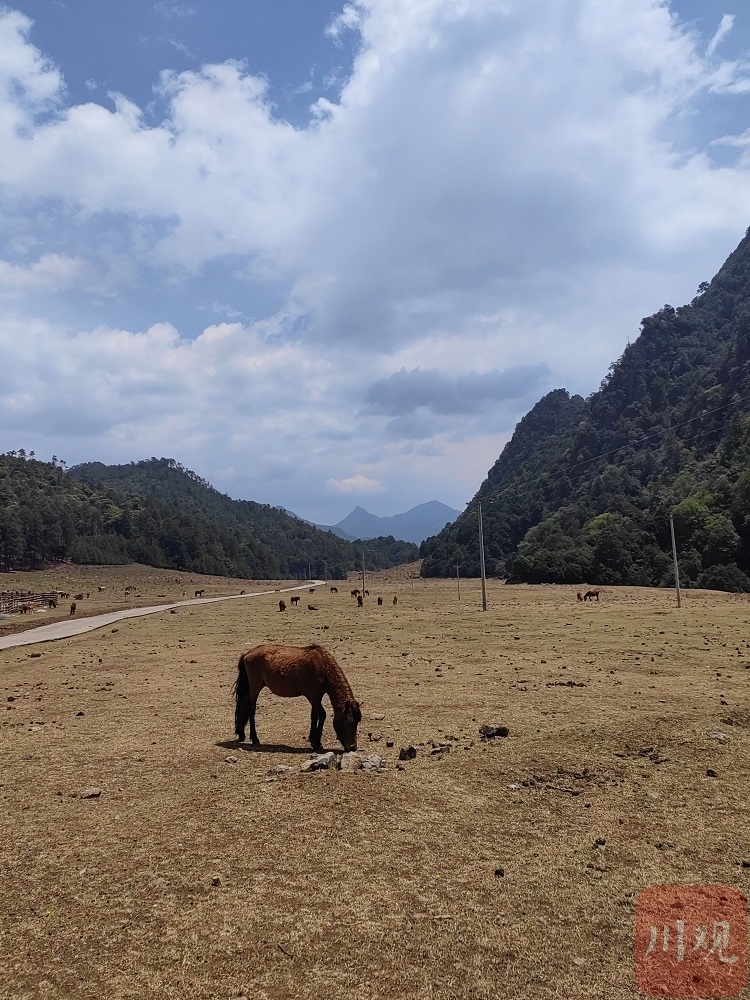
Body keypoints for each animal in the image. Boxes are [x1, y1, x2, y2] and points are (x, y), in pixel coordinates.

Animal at [235, 640, 364, 752]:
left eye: (358, 722)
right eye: (349, 721)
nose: (352, 747)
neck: (322, 667)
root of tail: (248, 653)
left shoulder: (317, 696)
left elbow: (314, 716)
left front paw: (313, 739)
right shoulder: (312, 696)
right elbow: (322, 714)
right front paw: (317, 742)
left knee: (244, 706)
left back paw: (241, 734)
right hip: (255, 687)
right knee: (251, 710)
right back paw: (255, 739)